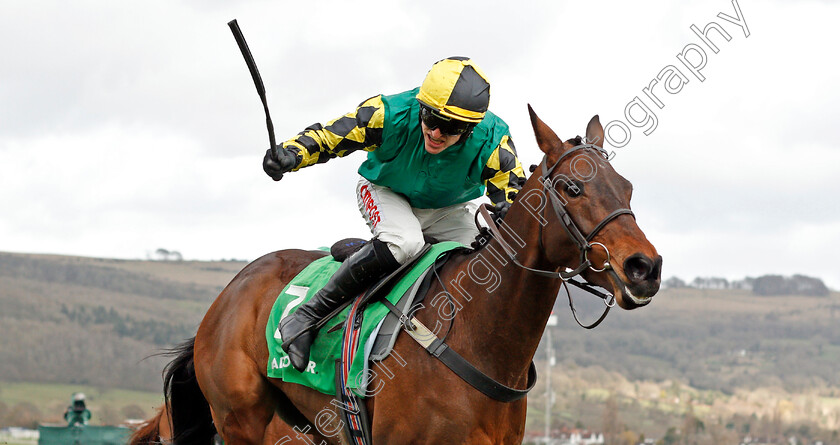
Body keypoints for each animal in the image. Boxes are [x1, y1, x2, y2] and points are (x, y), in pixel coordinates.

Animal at [149, 107, 664, 444]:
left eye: (627, 187)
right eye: (573, 187)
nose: (646, 268)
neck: (477, 336)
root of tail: (228, 294)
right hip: (242, 420)